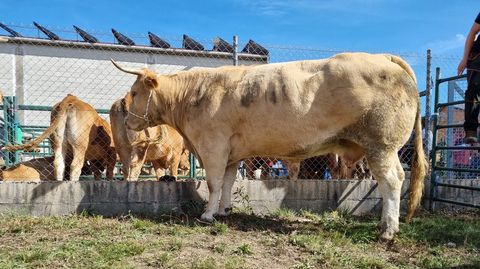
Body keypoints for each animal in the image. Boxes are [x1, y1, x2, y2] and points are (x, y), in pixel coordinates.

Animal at [112, 52, 428, 239]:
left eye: (135, 92)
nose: (125, 116)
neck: (192, 96)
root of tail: (382, 56)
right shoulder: (231, 153)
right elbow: (227, 183)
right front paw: (224, 211)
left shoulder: (213, 146)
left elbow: (214, 183)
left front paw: (207, 215)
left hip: (381, 145)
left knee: (392, 181)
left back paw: (387, 230)